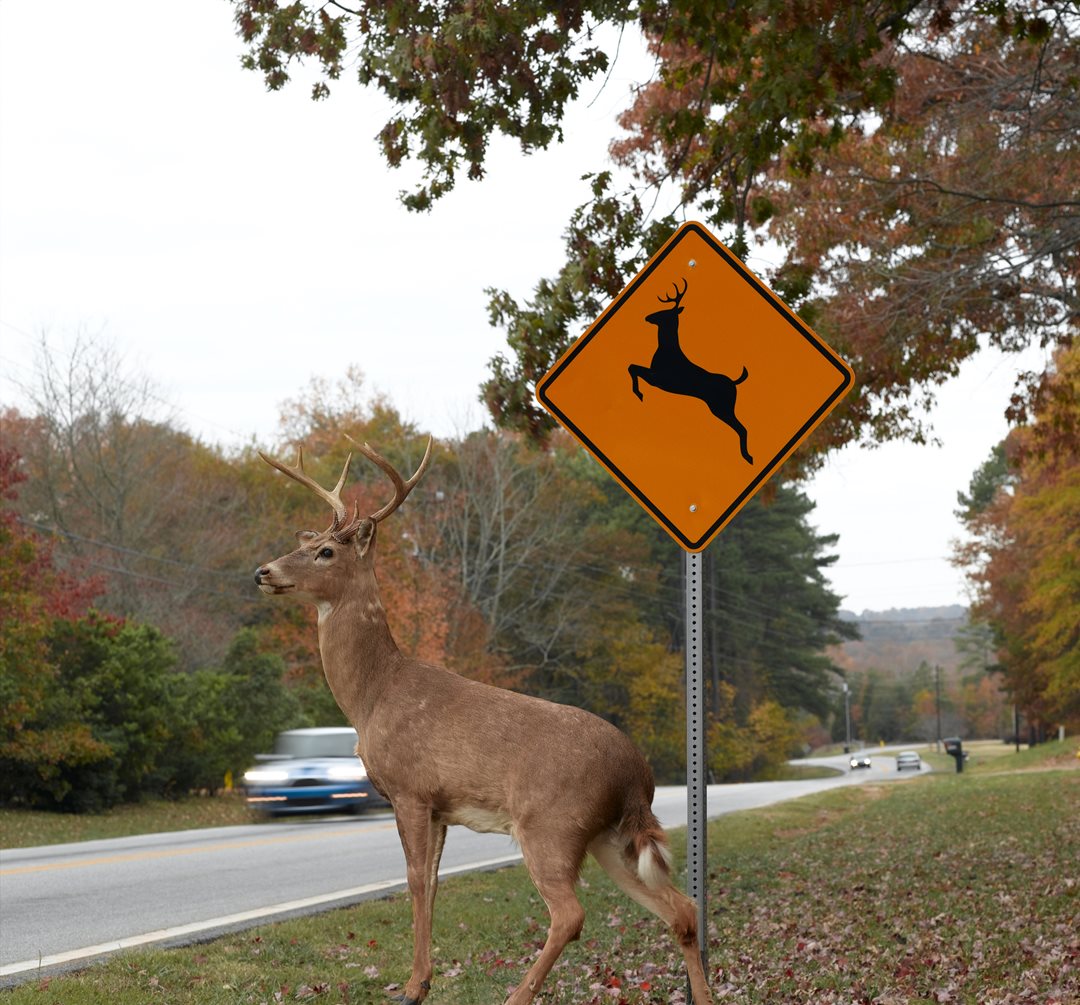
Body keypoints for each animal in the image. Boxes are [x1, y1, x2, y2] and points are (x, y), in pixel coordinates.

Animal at [254, 438, 714, 1005]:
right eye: (310, 540)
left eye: (326, 552)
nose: (264, 571)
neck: (373, 696)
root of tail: (637, 774)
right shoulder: (440, 807)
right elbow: (431, 883)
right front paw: (423, 980)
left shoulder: (410, 789)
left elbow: (413, 880)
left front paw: (412, 986)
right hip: (608, 835)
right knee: (681, 908)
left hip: (552, 823)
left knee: (571, 914)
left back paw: (517, 995)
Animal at [629, 278, 754, 465]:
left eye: (665, 312)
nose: (647, 317)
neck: (666, 349)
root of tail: (734, 382)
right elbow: (632, 367)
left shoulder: (659, 379)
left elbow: (632, 367)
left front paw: (639, 393)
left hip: (722, 407)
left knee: (742, 428)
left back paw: (748, 457)